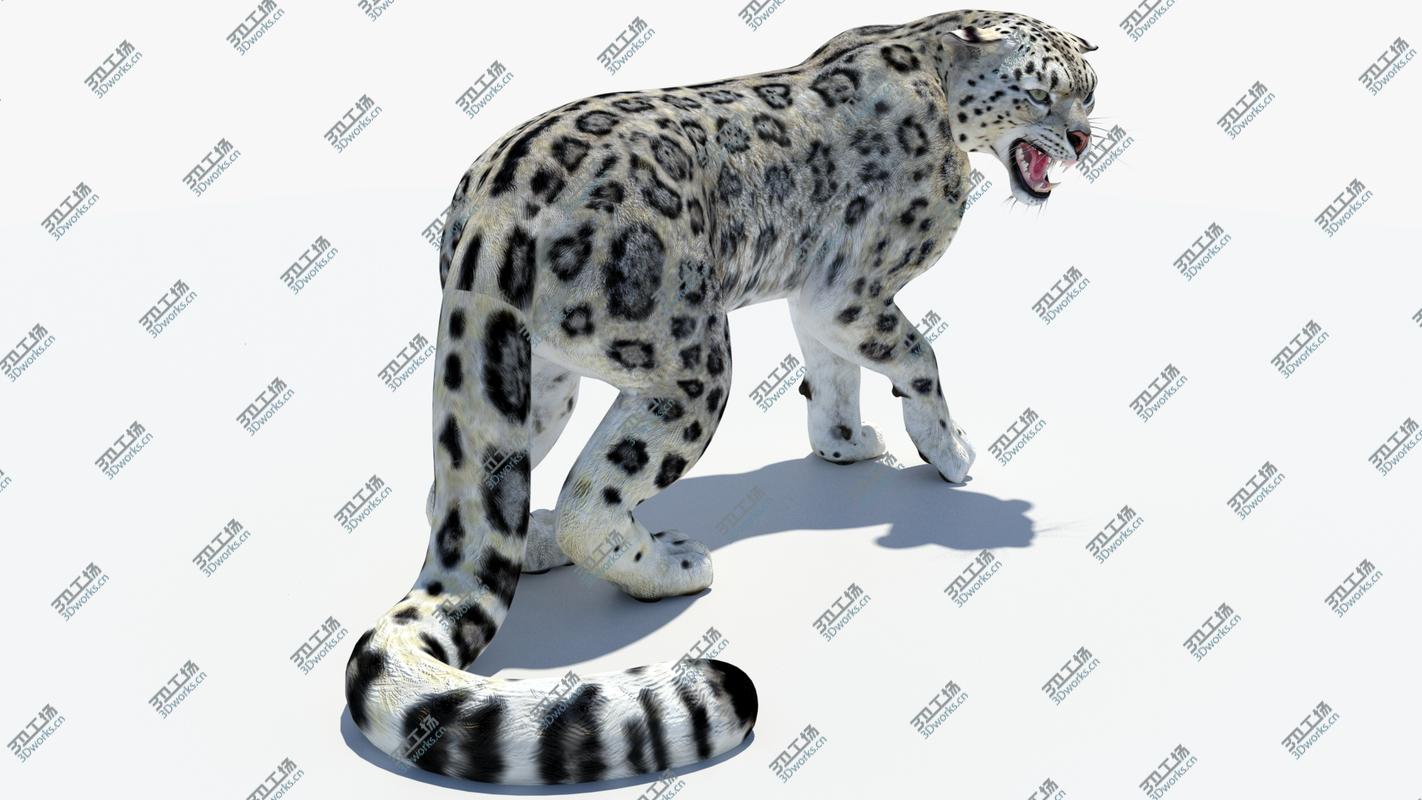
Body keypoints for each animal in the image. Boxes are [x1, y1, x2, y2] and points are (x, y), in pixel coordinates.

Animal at [346, 8, 1099, 785]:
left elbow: (833, 372)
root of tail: (492, 214)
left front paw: (846, 443)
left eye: (1089, 91)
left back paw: (538, 538)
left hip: (533, 377)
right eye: (1040, 94)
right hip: (692, 365)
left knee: (464, 492)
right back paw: (673, 564)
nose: (1080, 139)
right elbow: (919, 357)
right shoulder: (852, 290)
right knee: (593, 499)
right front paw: (949, 450)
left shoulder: (819, 298)